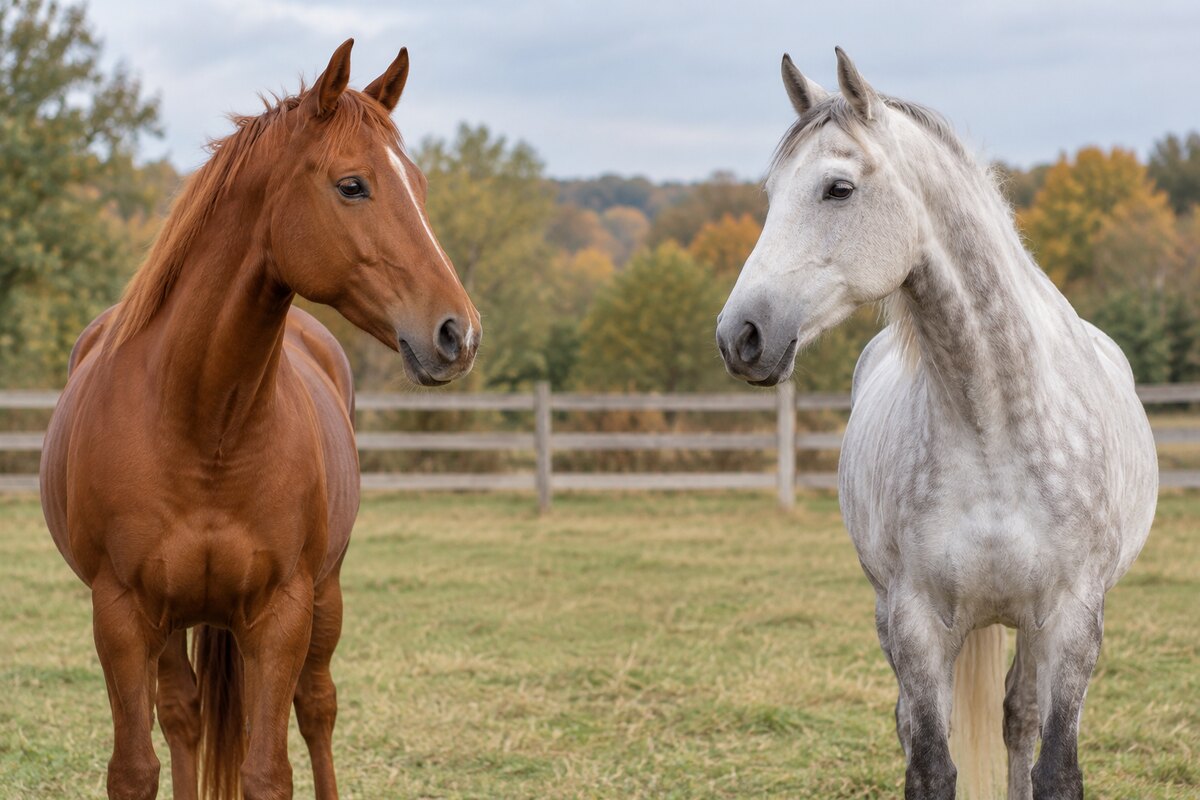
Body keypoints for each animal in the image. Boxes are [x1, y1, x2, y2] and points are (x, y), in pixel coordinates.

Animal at [40, 39, 480, 800]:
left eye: (419, 186)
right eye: (353, 185)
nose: (459, 333)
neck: (201, 422)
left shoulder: (280, 613)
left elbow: (269, 770)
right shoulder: (120, 614)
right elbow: (136, 769)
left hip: (324, 598)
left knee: (317, 707)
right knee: (182, 714)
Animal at [716, 49, 1157, 800]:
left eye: (837, 189)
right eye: (772, 192)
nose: (740, 336)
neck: (994, 427)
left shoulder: (1072, 619)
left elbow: (1054, 766)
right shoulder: (915, 619)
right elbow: (929, 765)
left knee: (1017, 716)